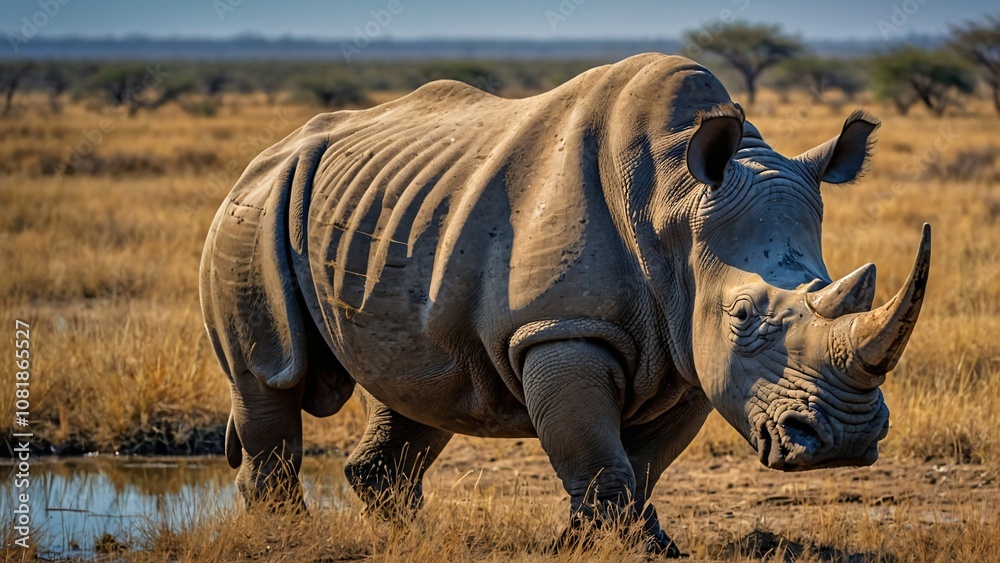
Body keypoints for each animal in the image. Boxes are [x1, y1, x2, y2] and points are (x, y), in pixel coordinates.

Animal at [199, 53, 931, 555]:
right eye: (743, 315)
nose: (846, 441)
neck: (675, 203)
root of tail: (262, 157)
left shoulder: (689, 348)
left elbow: (643, 461)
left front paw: (632, 543)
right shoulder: (560, 327)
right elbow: (593, 447)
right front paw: (611, 546)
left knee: (425, 376)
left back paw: (408, 536)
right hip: (253, 211)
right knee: (270, 375)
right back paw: (283, 533)